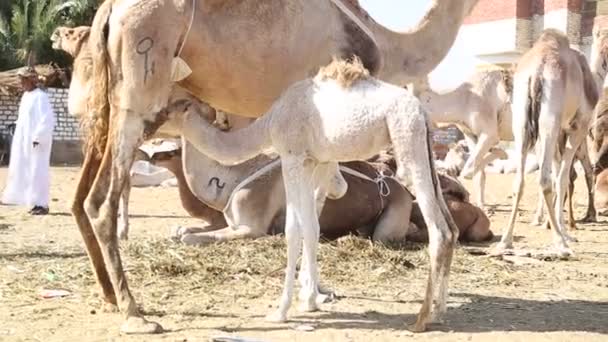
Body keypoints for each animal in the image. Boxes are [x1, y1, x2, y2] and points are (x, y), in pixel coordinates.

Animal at [59, 0, 478, 332]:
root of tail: (110, 12)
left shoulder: (314, 144)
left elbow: (313, 212)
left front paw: (313, 294)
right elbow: (311, 213)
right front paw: (310, 295)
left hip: (108, 109)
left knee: (81, 199)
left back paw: (110, 296)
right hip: (138, 93)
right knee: (100, 201)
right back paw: (134, 313)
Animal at [498, 28, 600, 256]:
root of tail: (536, 73)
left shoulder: (559, 133)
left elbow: (560, 176)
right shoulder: (577, 127)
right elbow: (563, 179)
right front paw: (565, 234)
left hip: (522, 125)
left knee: (520, 180)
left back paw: (505, 241)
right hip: (549, 123)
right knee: (545, 180)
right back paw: (560, 243)